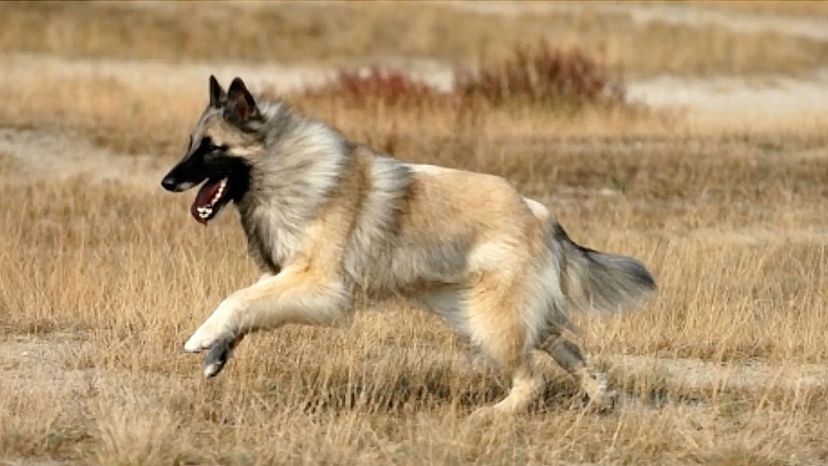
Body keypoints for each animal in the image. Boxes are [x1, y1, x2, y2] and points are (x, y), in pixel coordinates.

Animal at [160, 76, 652, 416]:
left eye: (211, 148)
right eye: (191, 144)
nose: (167, 182)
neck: (286, 169)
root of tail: (539, 214)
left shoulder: (318, 285)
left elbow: (236, 300)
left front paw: (201, 338)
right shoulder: (282, 277)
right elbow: (246, 305)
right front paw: (217, 354)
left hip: (491, 321)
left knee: (533, 380)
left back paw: (491, 415)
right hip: (487, 311)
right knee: (567, 347)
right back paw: (601, 396)